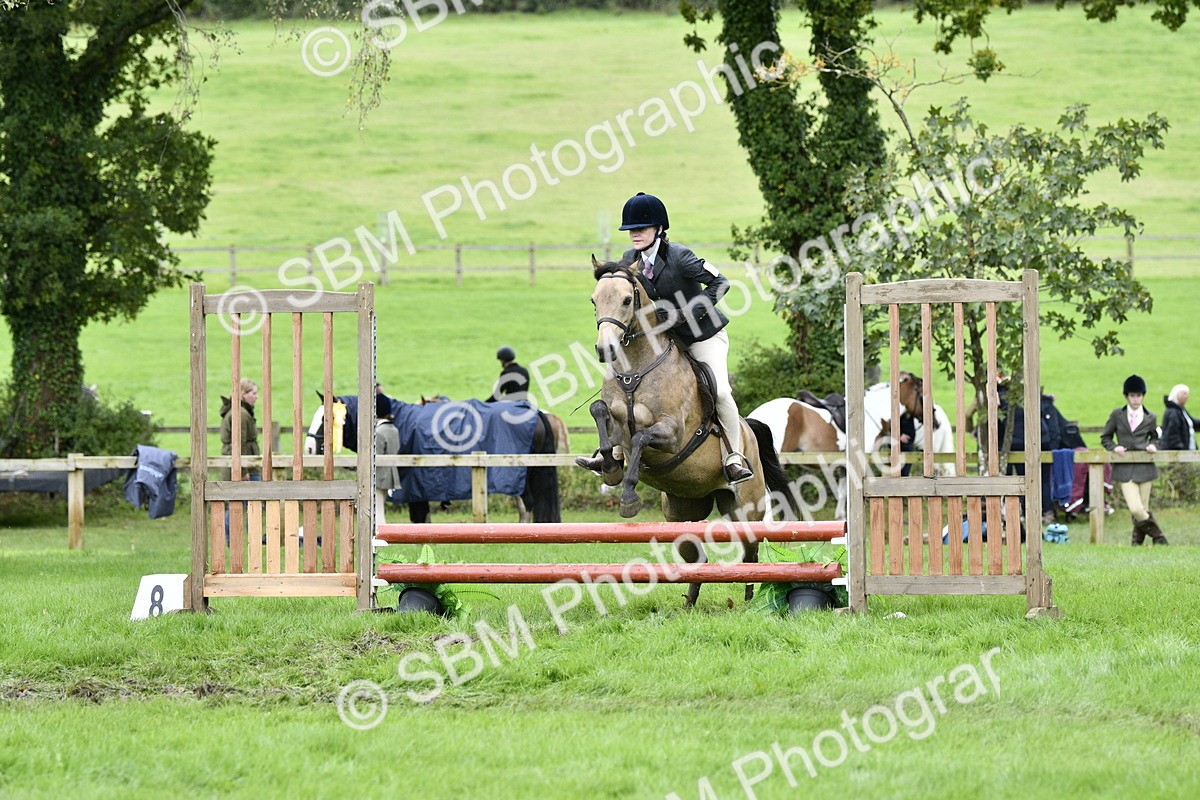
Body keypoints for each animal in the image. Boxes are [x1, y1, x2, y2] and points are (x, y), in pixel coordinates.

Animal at [579, 256, 795, 607]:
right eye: (594, 301)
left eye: (626, 300)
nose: (605, 349)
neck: (636, 369)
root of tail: (749, 430)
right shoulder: (616, 418)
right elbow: (600, 412)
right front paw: (609, 467)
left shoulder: (673, 434)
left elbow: (640, 437)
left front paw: (628, 497)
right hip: (679, 515)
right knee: (698, 559)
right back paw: (690, 603)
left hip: (746, 509)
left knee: (750, 553)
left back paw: (750, 599)